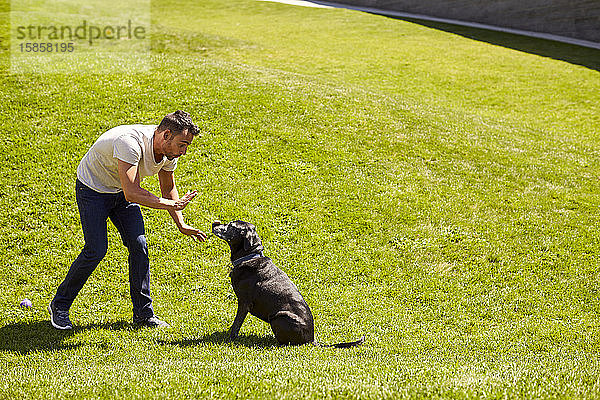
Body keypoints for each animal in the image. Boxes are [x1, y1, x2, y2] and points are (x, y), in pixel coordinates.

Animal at [213, 219, 364, 346]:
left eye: (231, 226)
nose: (214, 223)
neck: (250, 257)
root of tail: (311, 340)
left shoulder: (244, 302)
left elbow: (236, 324)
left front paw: (230, 338)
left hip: (278, 317)